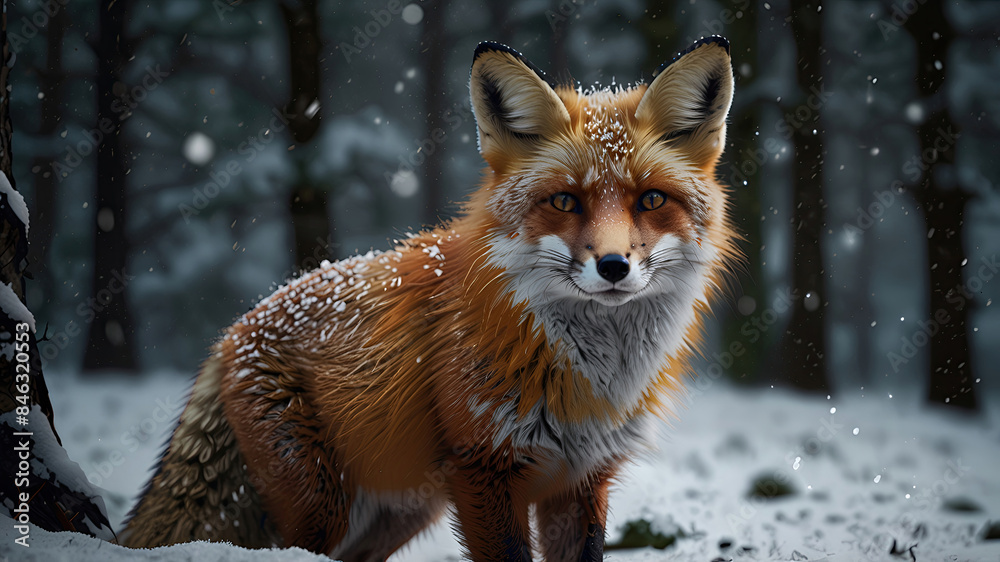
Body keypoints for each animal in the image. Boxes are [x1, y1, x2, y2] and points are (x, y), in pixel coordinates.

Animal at [121, 36, 737, 561]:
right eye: (565, 201)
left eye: (651, 199)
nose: (613, 266)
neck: (591, 382)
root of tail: (234, 330)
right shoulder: (484, 469)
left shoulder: (581, 480)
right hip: (322, 509)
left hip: (399, 511)